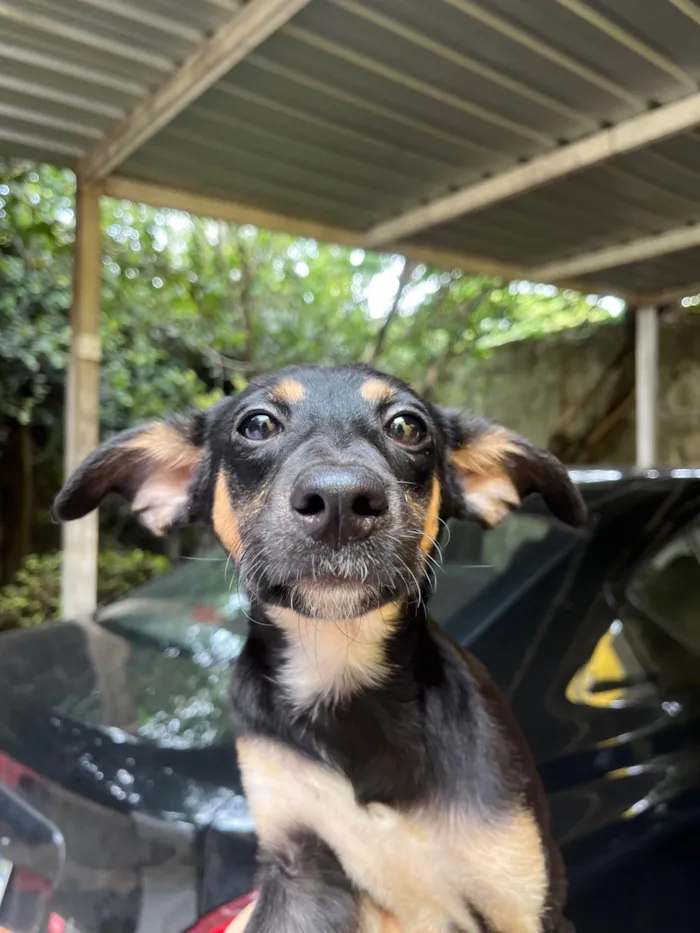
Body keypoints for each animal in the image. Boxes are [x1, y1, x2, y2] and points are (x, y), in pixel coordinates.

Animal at [54, 364, 588, 932]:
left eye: (408, 426)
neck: (339, 667)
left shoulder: (519, 897)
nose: (340, 501)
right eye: (257, 424)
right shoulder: (299, 870)